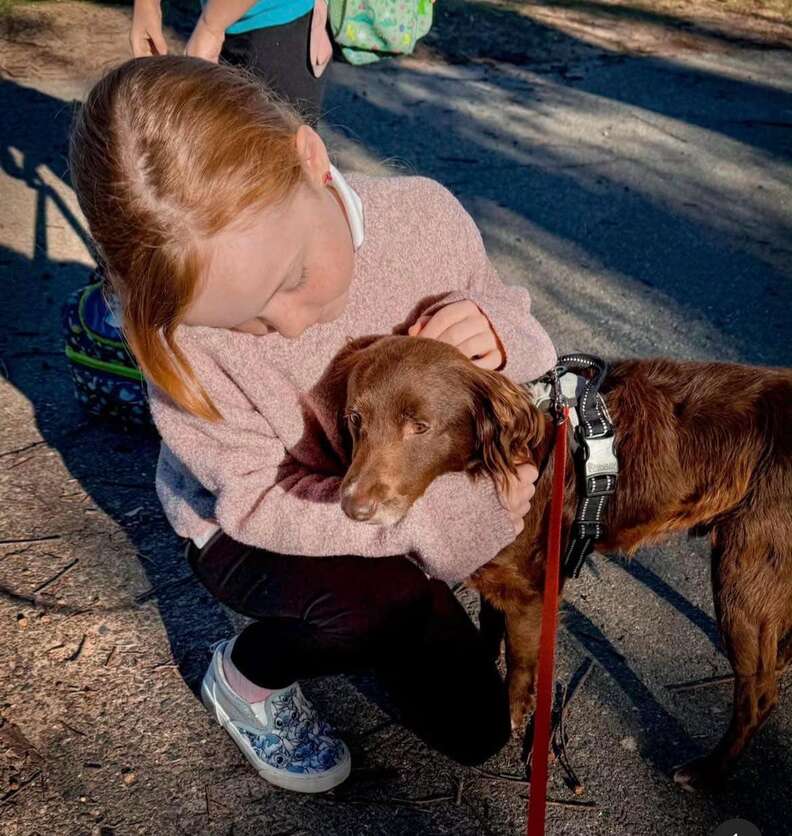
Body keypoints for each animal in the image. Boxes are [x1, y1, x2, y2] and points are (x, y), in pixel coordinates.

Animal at [336, 334, 792, 790]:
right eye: (355, 418)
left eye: (421, 426)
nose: (351, 508)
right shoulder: (497, 576)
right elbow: (488, 630)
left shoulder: (531, 592)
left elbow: (520, 664)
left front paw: (513, 717)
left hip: (743, 574)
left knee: (759, 694)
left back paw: (706, 771)